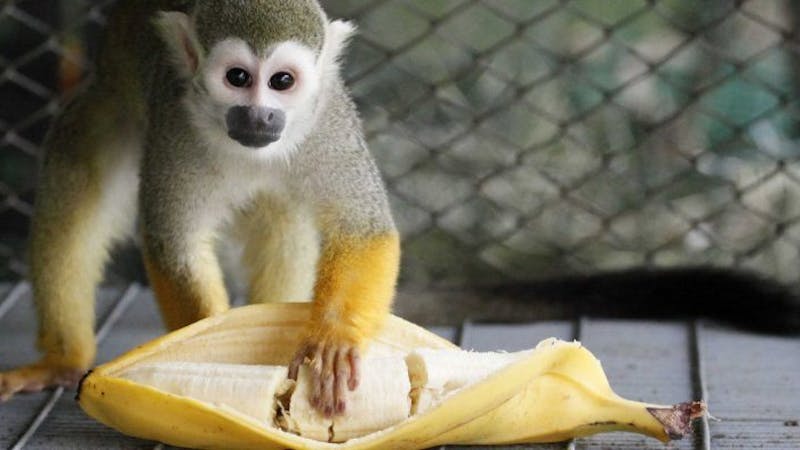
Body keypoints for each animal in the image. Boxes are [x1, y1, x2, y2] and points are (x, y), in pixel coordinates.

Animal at [0, 0, 399, 417]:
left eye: (282, 82)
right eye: (237, 77)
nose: (259, 116)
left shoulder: (329, 121)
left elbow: (362, 229)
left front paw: (334, 339)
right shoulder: (175, 126)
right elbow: (176, 244)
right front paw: (201, 350)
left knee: (283, 219)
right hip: (109, 107)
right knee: (72, 194)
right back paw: (62, 361)